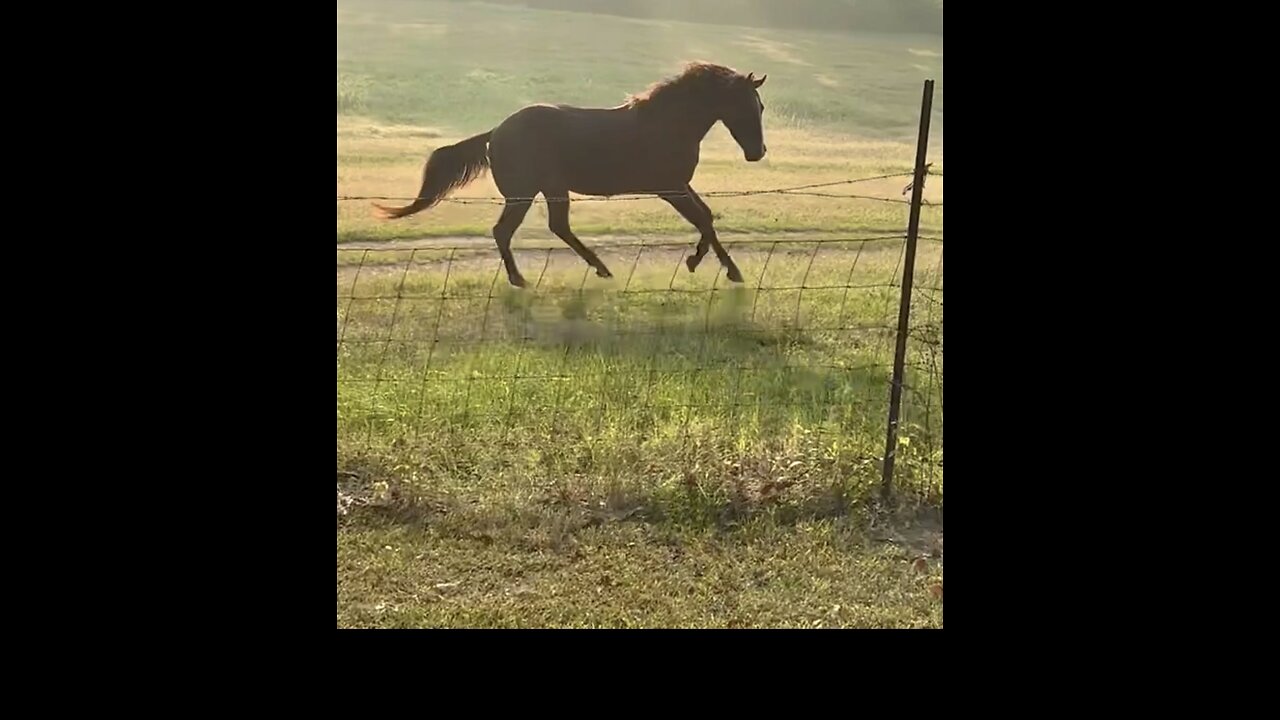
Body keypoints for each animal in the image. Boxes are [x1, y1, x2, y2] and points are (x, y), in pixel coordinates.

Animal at [373, 60, 768, 285]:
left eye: (759, 106)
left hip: (548, 190)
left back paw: (598, 269)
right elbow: (702, 220)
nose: (758, 153)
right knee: (510, 231)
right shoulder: (670, 187)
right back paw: (524, 279)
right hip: (527, 193)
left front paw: (705, 263)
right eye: (746, 105)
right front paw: (718, 268)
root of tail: (495, 131)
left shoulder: (680, 185)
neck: (667, 124)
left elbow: (707, 217)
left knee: (553, 227)